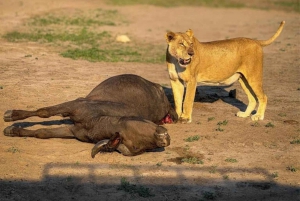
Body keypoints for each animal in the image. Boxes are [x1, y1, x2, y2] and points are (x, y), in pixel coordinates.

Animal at [2, 74, 178, 156]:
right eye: (142, 121)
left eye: (136, 147)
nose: (164, 139)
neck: (97, 121)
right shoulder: (74, 106)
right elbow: (43, 112)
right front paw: (11, 116)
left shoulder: (71, 131)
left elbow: (42, 133)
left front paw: (13, 130)